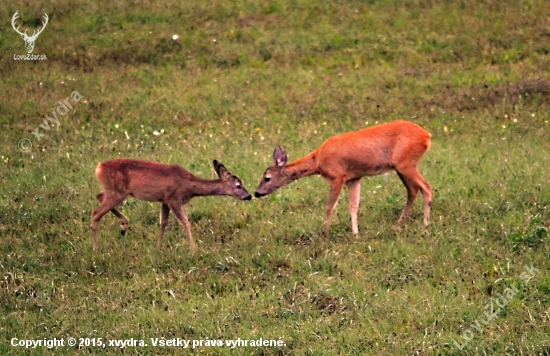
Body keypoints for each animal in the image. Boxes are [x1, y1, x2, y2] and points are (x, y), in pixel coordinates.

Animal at [92, 159, 252, 253]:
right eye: (238, 185)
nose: (249, 196)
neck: (189, 186)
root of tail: (99, 168)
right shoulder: (174, 198)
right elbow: (185, 222)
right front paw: (193, 249)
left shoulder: (164, 200)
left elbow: (163, 223)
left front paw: (158, 248)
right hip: (117, 191)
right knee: (95, 213)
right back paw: (96, 249)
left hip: (114, 191)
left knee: (99, 196)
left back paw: (124, 226)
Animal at [256, 120, 436, 236]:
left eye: (267, 178)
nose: (256, 193)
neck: (317, 161)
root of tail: (426, 136)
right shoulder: (353, 178)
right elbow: (353, 207)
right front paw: (355, 235)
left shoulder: (337, 176)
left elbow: (330, 207)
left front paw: (325, 233)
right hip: (401, 166)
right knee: (413, 190)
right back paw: (399, 224)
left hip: (406, 163)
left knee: (426, 188)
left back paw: (425, 225)